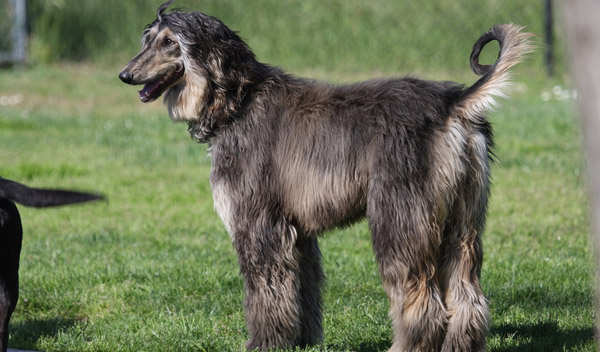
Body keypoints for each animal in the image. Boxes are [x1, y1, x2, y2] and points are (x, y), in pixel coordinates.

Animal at [119, 1, 532, 350]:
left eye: (170, 42)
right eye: (148, 39)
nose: (125, 74)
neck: (237, 102)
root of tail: (452, 103)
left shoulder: (258, 224)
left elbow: (266, 293)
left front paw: (264, 343)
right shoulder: (295, 231)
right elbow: (302, 289)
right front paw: (301, 340)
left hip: (400, 216)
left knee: (420, 296)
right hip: (461, 219)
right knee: (467, 295)